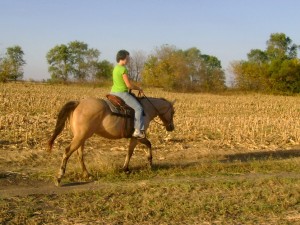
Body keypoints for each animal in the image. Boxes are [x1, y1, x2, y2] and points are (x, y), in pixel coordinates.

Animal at [47, 96, 175, 185]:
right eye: (173, 112)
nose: (171, 127)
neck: (146, 109)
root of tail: (78, 103)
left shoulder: (135, 137)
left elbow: (132, 150)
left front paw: (127, 168)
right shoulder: (137, 136)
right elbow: (142, 147)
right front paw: (147, 164)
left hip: (81, 138)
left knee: (79, 154)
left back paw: (87, 174)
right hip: (80, 137)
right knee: (67, 152)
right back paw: (59, 178)